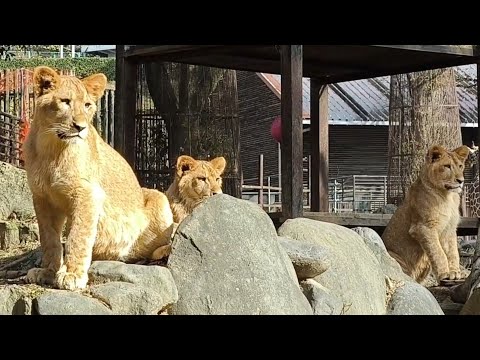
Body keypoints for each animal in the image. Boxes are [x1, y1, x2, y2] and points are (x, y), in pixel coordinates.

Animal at [23, 66, 174, 292]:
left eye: (87, 105)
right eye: (65, 101)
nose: (80, 127)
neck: (51, 148)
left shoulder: (88, 194)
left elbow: (78, 235)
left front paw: (72, 274)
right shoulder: (42, 198)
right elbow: (49, 239)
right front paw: (48, 272)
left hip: (158, 197)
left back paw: (161, 251)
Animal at [380, 144, 470, 284]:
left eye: (460, 166)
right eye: (447, 166)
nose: (461, 180)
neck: (448, 197)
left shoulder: (449, 229)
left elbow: (453, 252)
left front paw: (455, 272)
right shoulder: (423, 227)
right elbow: (438, 252)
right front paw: (445, 274)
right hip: (392, 257)